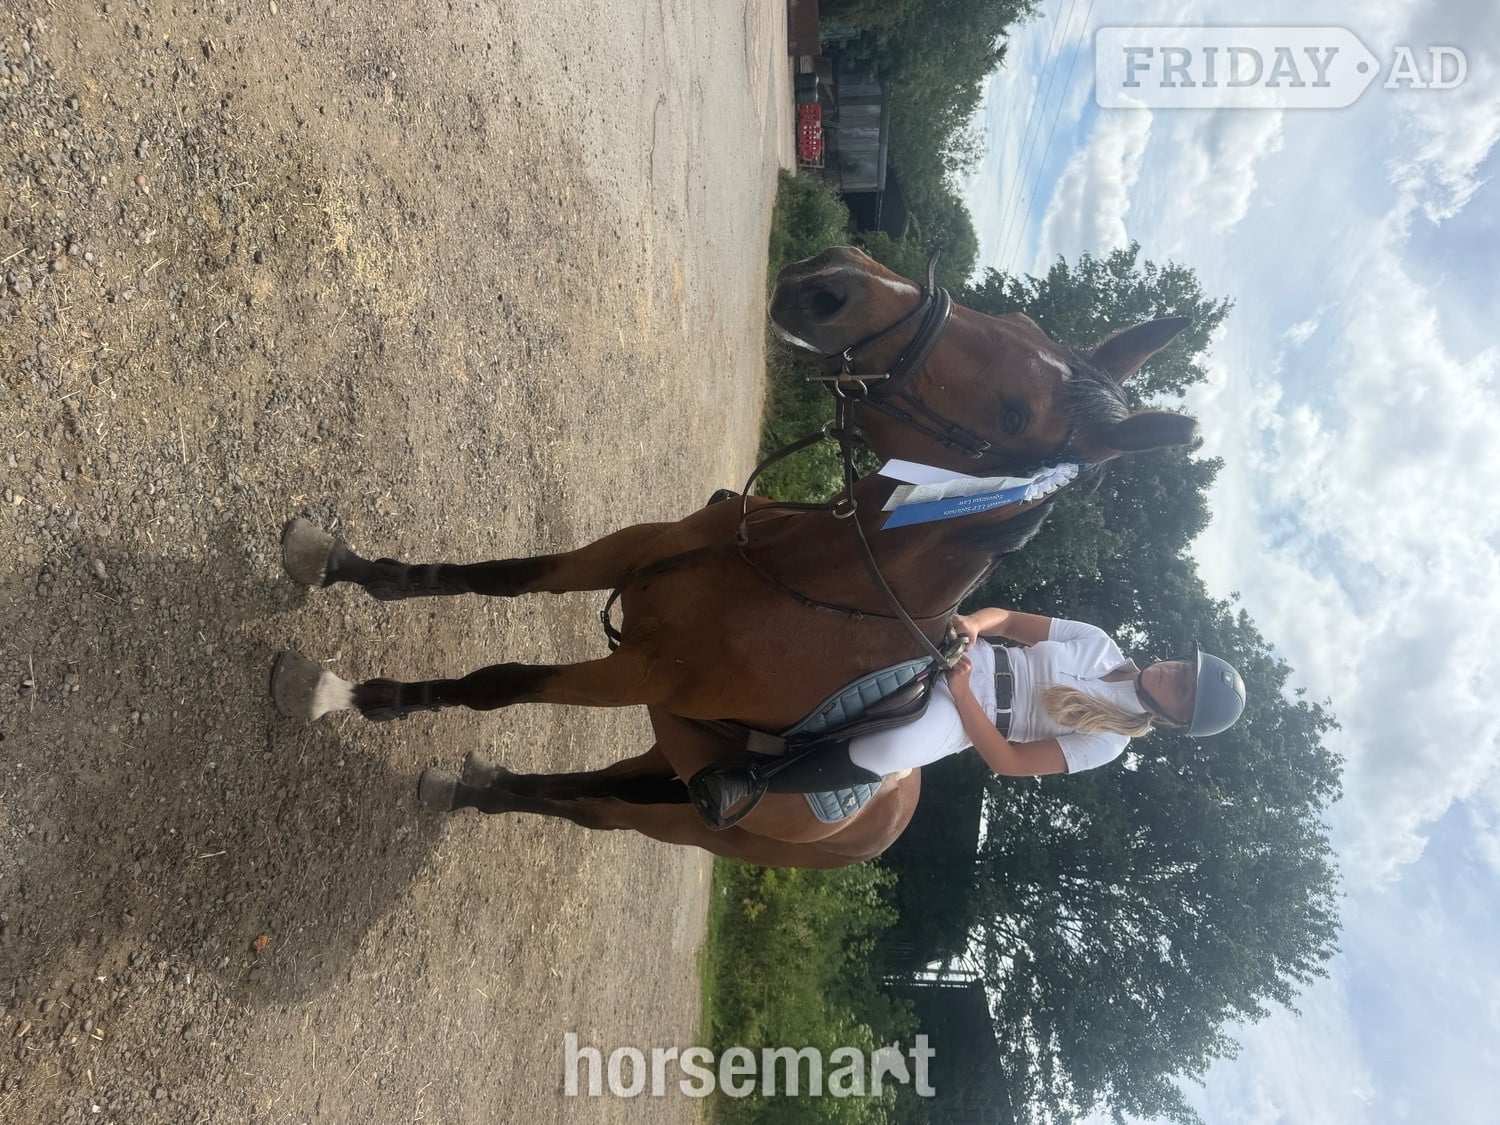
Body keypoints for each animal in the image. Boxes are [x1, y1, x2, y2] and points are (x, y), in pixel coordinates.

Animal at [271, 246, 1197, 869]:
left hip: (680, 810)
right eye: (1015, 324)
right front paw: (343, 565)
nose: (831, 281)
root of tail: (883, 820)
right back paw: (477, 786)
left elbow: (496, 682)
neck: (794, 572)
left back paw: (477, 789)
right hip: (670, 756)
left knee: (590, 810)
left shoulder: (640, 672)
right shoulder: (628, 553)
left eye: (1012, 415)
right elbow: (497, 577)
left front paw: (354, 694)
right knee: (577, 787)